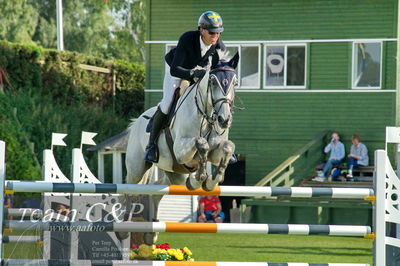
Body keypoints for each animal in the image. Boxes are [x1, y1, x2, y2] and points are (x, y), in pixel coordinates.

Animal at [123, 53, 239, 244]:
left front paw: (211, 180)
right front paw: (201, 178)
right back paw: (124, 227)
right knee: (130, 190)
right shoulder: (180, 150)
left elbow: (228, 147)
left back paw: (152, 233)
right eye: (213, 82)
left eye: (235, 83)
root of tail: (136, 122)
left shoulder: (215, 152)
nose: (224, 120)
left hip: (173, 172)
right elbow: (201, 143)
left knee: (157, 191)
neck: (206, 116)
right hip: (137, 168)